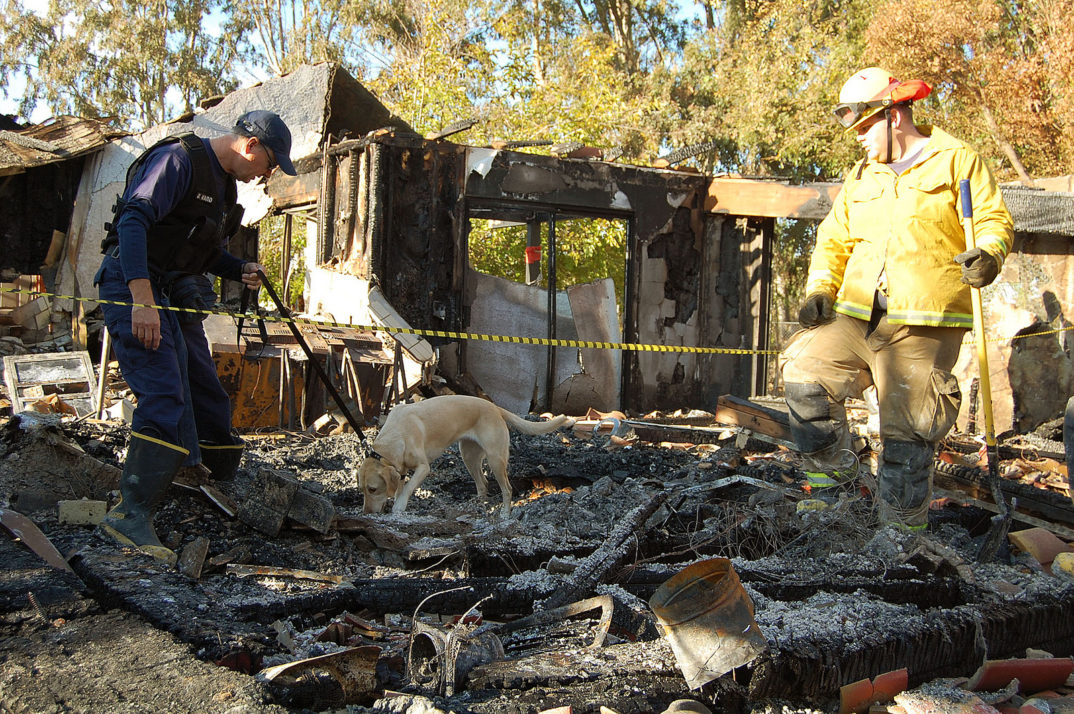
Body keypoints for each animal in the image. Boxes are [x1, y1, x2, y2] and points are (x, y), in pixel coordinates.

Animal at [358, 395, 575, 517]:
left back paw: (505, 513)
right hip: (468, 456)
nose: (366, 513)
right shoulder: (400, 468)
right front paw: (397, 499)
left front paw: (399, 506)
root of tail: (494, 407)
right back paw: (476, 505)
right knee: (483, 484)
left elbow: (409, 487)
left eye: (373, 489)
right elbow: (401, 486)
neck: (394, 436)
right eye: (362, 490)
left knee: (507, 489)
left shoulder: (423, 467)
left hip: (495, 460)